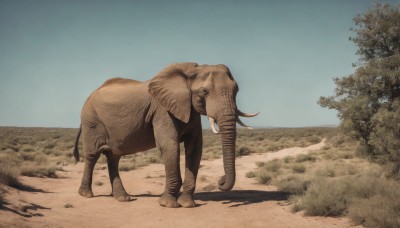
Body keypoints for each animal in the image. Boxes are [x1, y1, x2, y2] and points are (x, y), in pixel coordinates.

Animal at [73, 62, 258, 208]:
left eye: (236, 89)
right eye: (204, 92)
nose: (220, 180)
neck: (192, 71)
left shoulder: (190, 110)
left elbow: (194, 147)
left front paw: (187, 204)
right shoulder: (162, 110)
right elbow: (170, 145)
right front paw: (168, 204)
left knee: (113, 157)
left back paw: (123, 198)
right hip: (92, 121)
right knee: (92, 155)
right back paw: (86, 195)